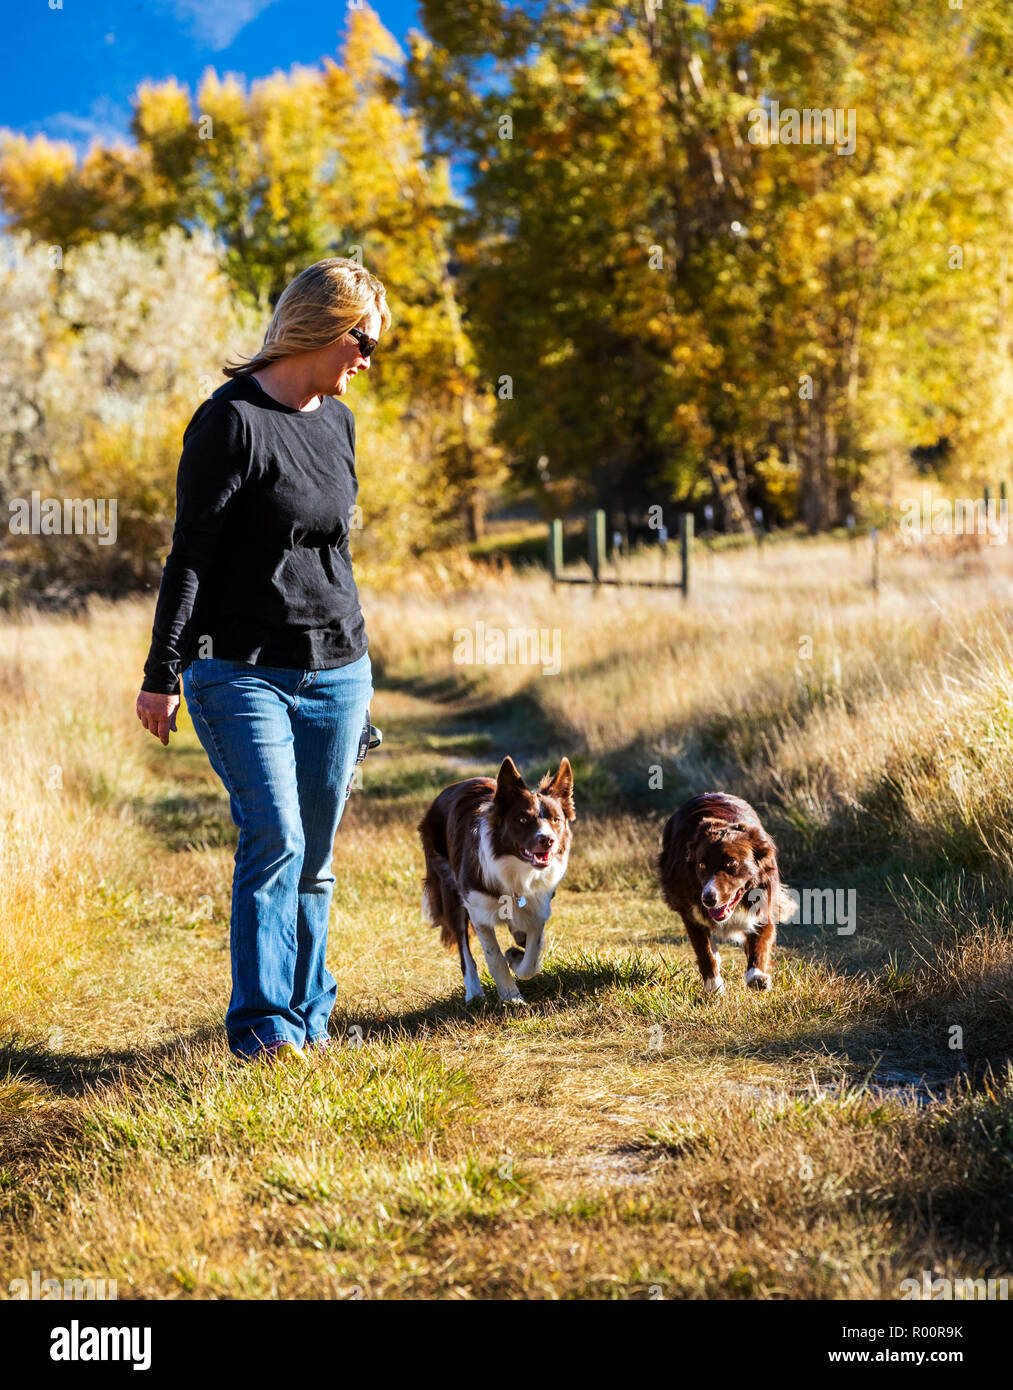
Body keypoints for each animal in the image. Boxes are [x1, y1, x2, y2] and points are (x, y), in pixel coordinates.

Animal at [419, 756, 578, 1006]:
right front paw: (512, 997)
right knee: (465, 951)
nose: (548, 840)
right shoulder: (478, 911)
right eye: (522, 819)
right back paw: (474, 992)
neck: (517, 871)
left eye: (556, 819)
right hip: (450, 890)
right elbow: (495, 959)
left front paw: (516, 957)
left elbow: (532, 959)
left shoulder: (538, 909)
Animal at [655, 795, 789, 989]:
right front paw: (714, 987)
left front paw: (757, 976)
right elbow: (705, 950)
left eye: (731, 863)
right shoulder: (691, 913)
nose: (708, 899)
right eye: (701, 865)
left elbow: (761, 941)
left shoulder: (764, 898)